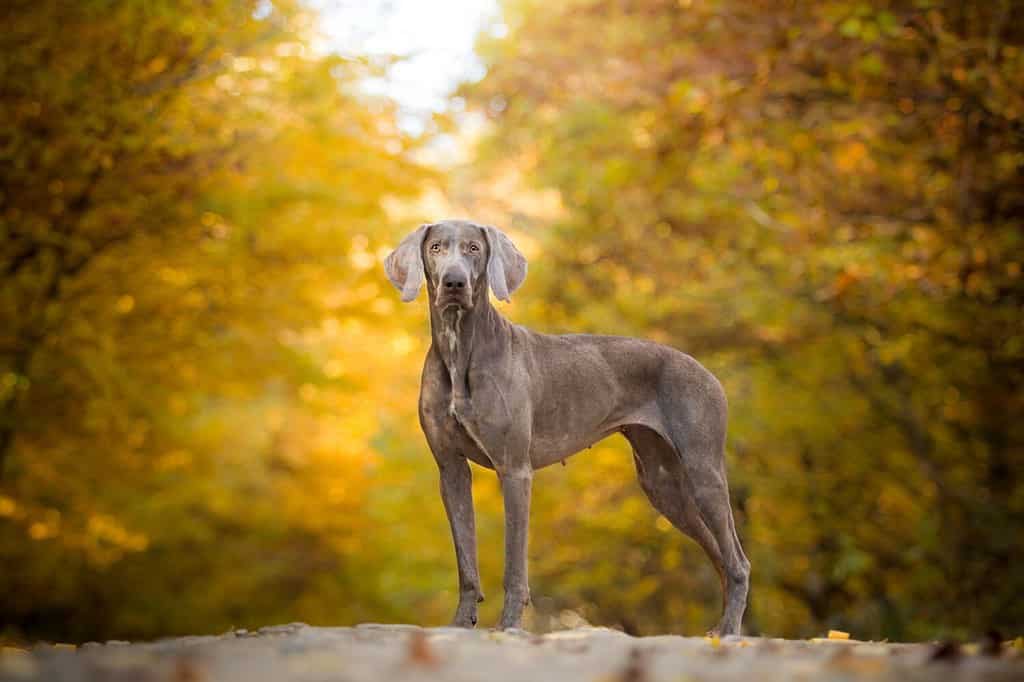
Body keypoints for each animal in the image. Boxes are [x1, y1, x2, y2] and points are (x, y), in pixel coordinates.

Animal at [385, 218, 753, 630]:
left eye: (473, 248)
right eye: (435, 248)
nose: (454, 282)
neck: (460, 347)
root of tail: (708, 371)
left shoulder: (515, 470)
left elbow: (515, 563)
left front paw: (509, 625)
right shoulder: (451, 471)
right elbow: (466, 560)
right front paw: (462, 624)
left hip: (703, 472)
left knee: (738, 561)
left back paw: (728, 630)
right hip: (663, 485)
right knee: (719, 553)